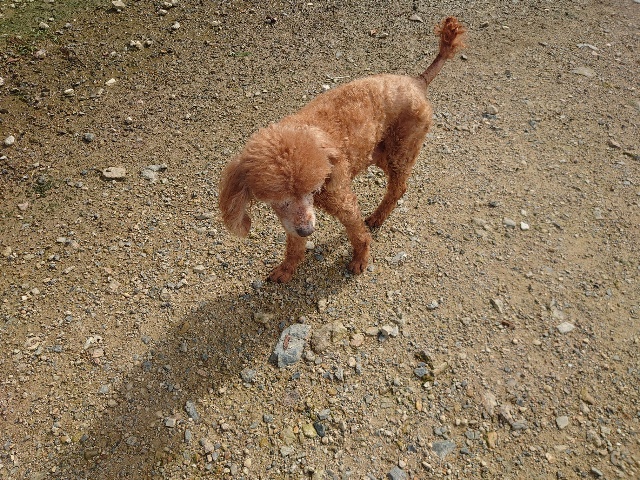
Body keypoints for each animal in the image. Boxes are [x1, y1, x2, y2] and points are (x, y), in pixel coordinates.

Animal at [219, 17, 466, 282]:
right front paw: (286, 268)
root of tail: (417, 81)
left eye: (313, 189)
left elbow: (357, 233)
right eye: (280, 199)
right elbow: (293, 244)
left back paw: (377, 217)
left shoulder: (342, 200)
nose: (308, 230)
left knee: (398, 187)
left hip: (401, 149)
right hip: (379, 152)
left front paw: (360, 260)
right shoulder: (292, 218)